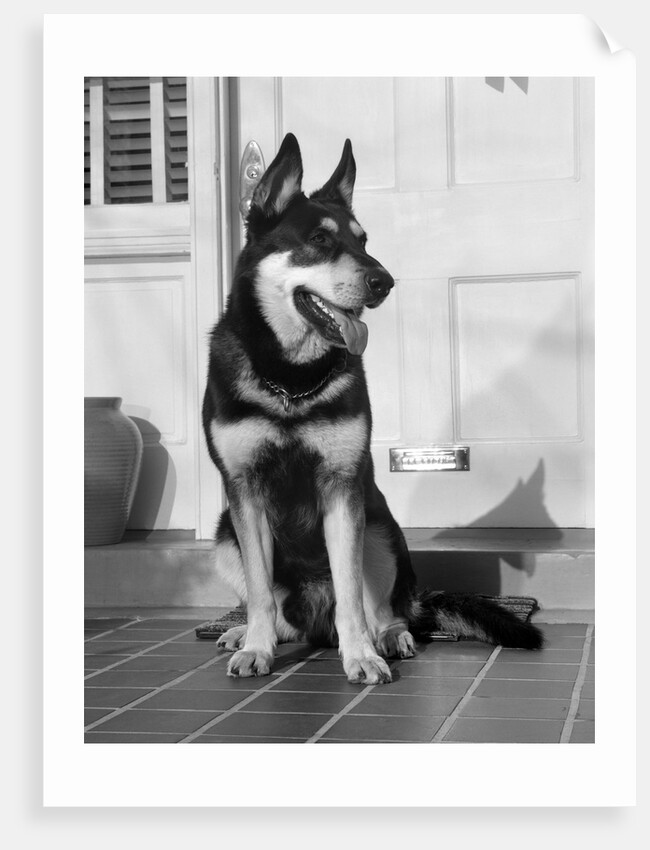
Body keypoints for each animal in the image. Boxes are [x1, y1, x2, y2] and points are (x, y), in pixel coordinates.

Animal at [202, 136, 540, 684]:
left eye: (363, 242)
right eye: (319, 240)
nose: (385, 281)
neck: (291, 379)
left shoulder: (343, 490)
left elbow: (351, 594)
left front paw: (360, 654)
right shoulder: (245, 492)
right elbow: (259, 594)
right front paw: (256, 646)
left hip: (380, 529)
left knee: (384, 607)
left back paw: (391, 636)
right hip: (224, 534)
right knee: (276, 610)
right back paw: (246, 632)